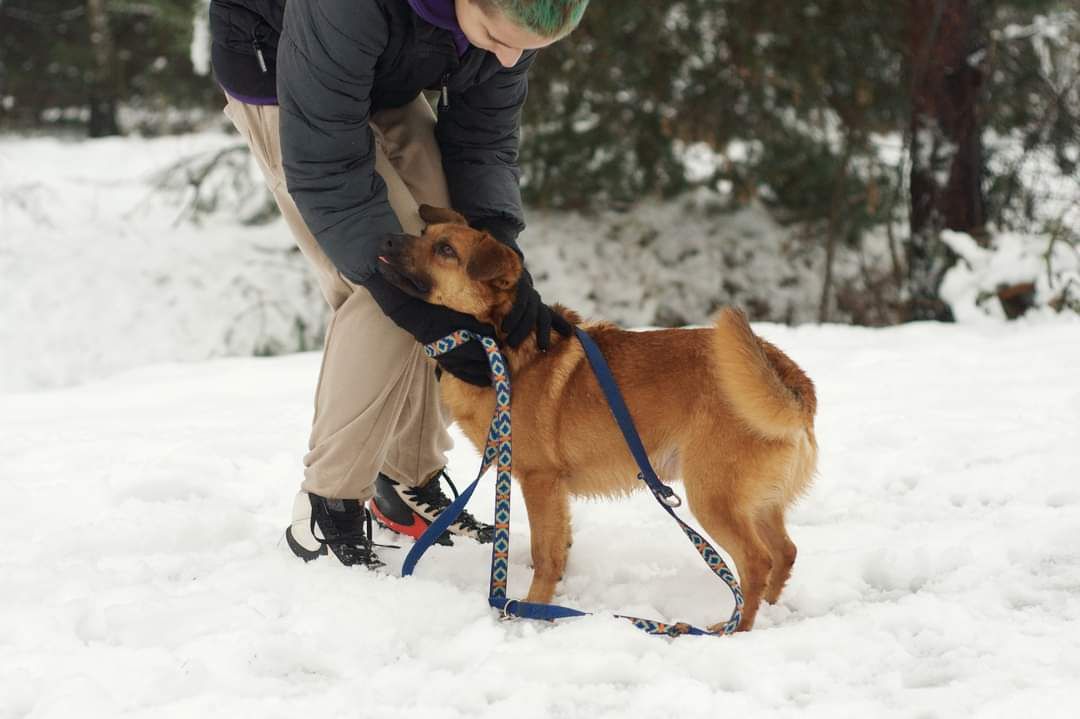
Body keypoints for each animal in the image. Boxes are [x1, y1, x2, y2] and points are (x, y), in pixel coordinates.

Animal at [380, 202, 816, 626]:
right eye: (424, 234)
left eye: (445, 250)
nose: (390, 237)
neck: (494, 346)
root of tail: (791, 375)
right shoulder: (554, 491)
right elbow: (559, 547)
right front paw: (548, 601)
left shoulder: (540, 481)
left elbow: (545, 553)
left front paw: (529, 610)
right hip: (755, 503)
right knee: (786, 552)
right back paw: (767, 611)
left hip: (713, 496)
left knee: (757, 562)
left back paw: (734, 629)